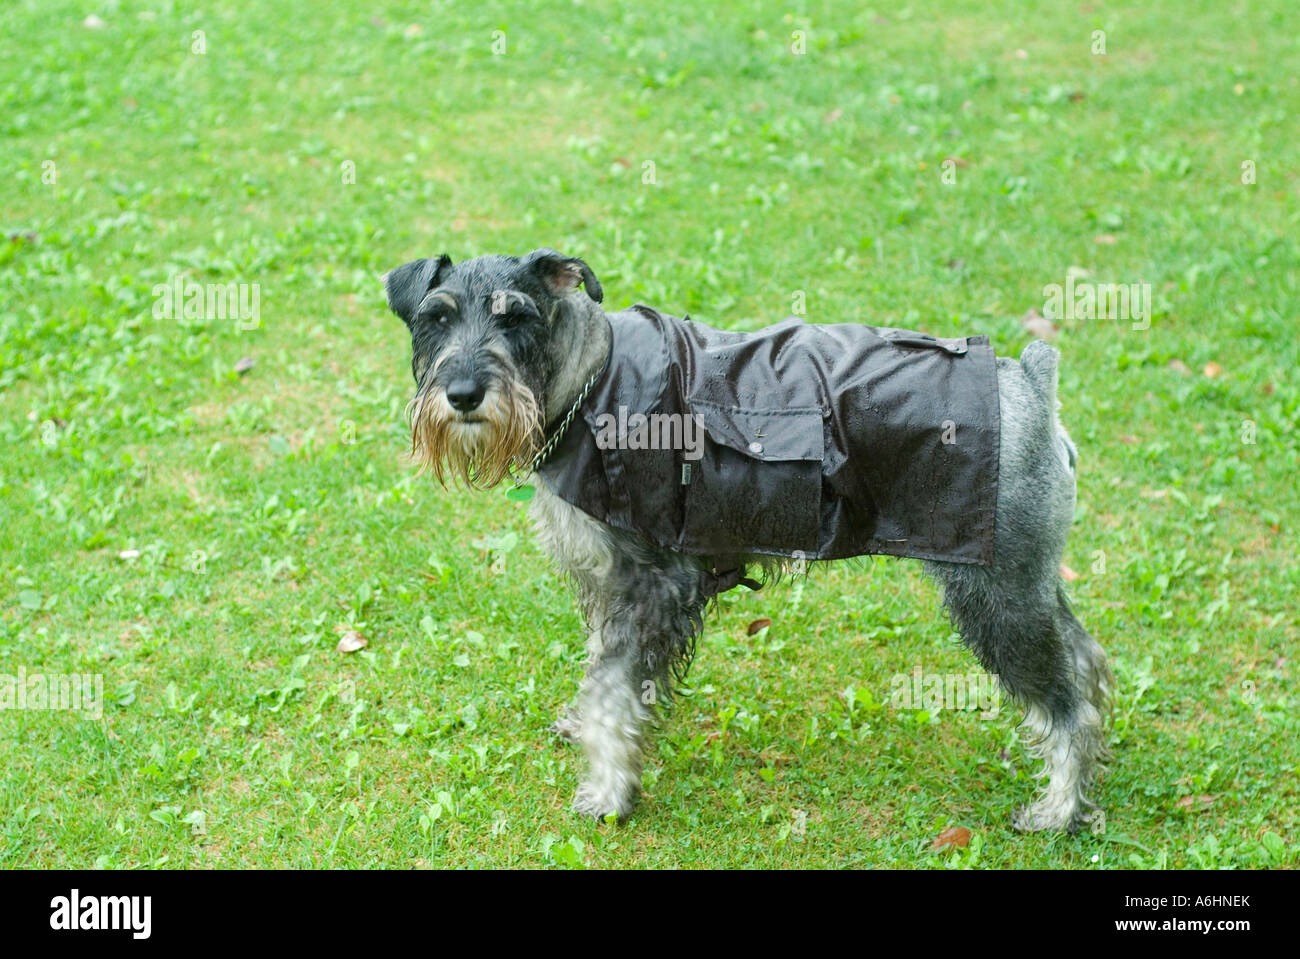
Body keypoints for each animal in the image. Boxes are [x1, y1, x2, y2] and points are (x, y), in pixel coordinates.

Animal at [379, 246, 1112, 831]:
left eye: (517, 317)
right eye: (436, 318)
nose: (464, 393)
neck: (587, 383)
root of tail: (1032, 385)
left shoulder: (650, 586)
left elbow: (615, 690)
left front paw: (609, 792)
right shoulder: (610, 584)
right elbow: (599, 672)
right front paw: (582, 726)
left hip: (995, 596)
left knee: (1067, 706)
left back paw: (1058, 809)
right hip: (1028, 580)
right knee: (1084, 661)